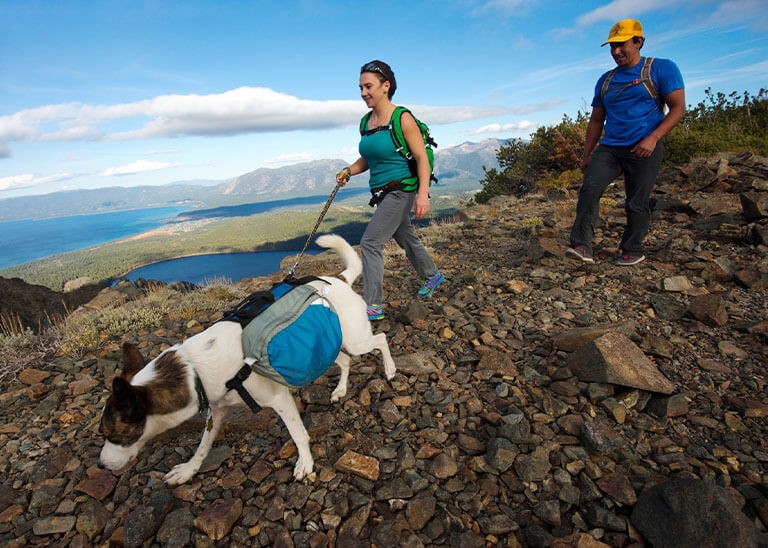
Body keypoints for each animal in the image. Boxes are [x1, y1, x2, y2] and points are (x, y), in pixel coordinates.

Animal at [97, 234, 396, 484]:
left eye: (114, 435)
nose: (100, 465)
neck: (193, 372)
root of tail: (339, 279)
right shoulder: (216, 411)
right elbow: (202, 446)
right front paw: (188, 470)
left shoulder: (279, 399)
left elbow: (299, 434)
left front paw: (305, 464)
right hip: (327, 344)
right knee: (345, 361)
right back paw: (340, 390)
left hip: (356, 339)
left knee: (380, 339)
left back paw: (390, 369)